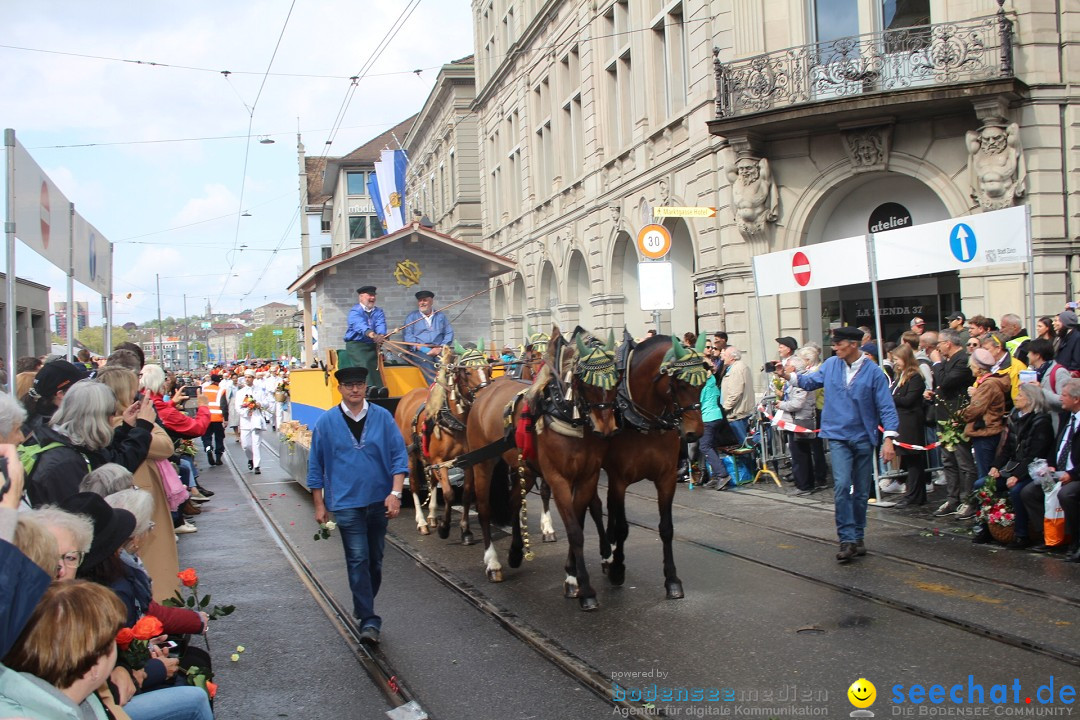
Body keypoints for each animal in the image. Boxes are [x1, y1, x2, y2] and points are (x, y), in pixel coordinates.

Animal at [468, 330, 622, 613]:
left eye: (616, 377)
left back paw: (516, 552)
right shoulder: (558, 478)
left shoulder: (587, 477)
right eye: (586, 381)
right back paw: (493, 562)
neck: (569, 416)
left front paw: (572, 577)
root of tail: (486, 392)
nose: (606, 429)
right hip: (482, 463)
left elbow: (581, 522)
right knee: (484, 509)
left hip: (525, 469)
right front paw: (585, 589)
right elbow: (574, 530)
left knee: (514, 501)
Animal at [600, 334, 708, 600]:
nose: (695, 433)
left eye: (703, 383)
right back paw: (608, 556)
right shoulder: (619, 480)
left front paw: (672, 580)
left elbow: (666, 528)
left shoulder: (666, 478)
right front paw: (618, 569)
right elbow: (623, 528)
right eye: (678, 384)